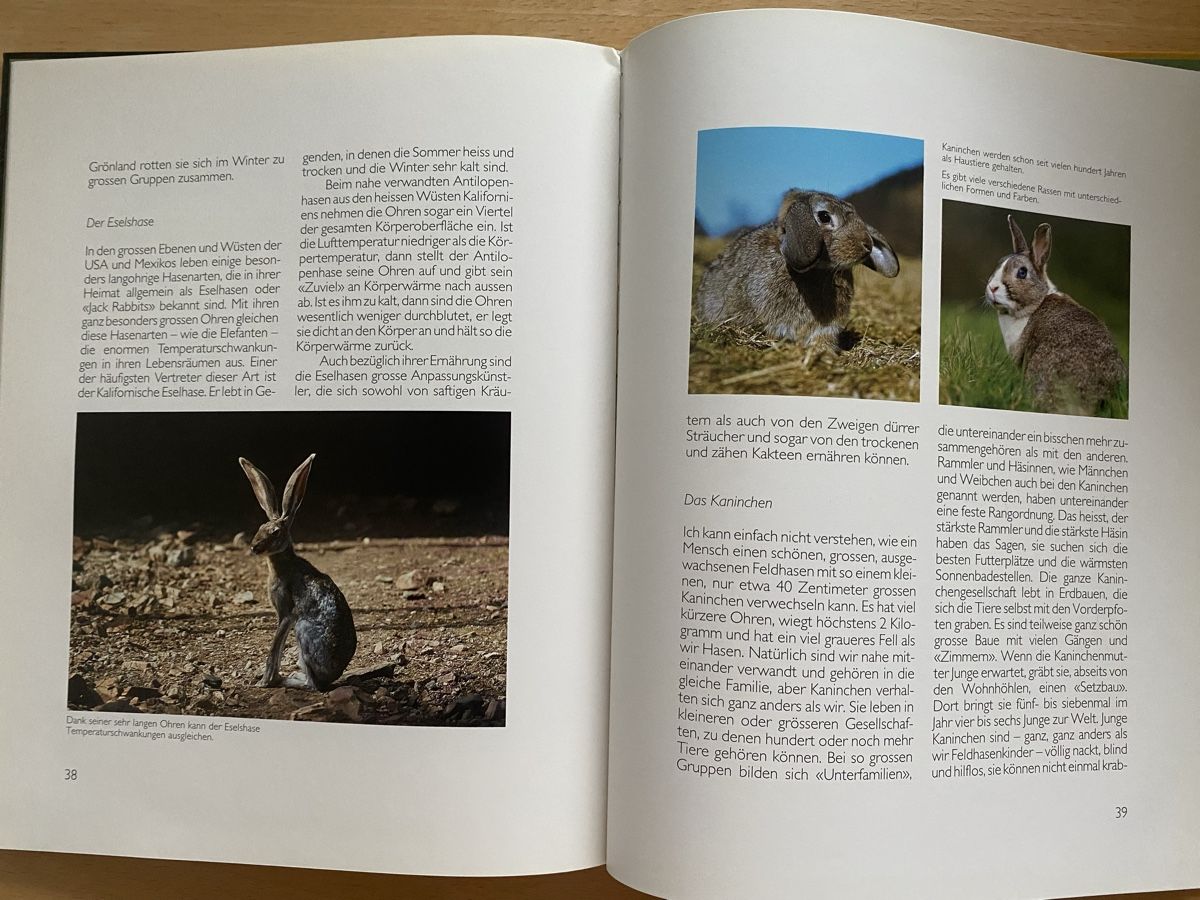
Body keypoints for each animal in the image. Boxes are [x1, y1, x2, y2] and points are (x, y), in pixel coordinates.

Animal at [239, 453, 356, 690]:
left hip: (303, 631)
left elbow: (275, 646)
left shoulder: (286, 613)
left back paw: (290, 680)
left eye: (275, 532)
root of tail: (332, 677)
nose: (254, 547)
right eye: (260, 527)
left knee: (313, 685)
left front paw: (265, 682)